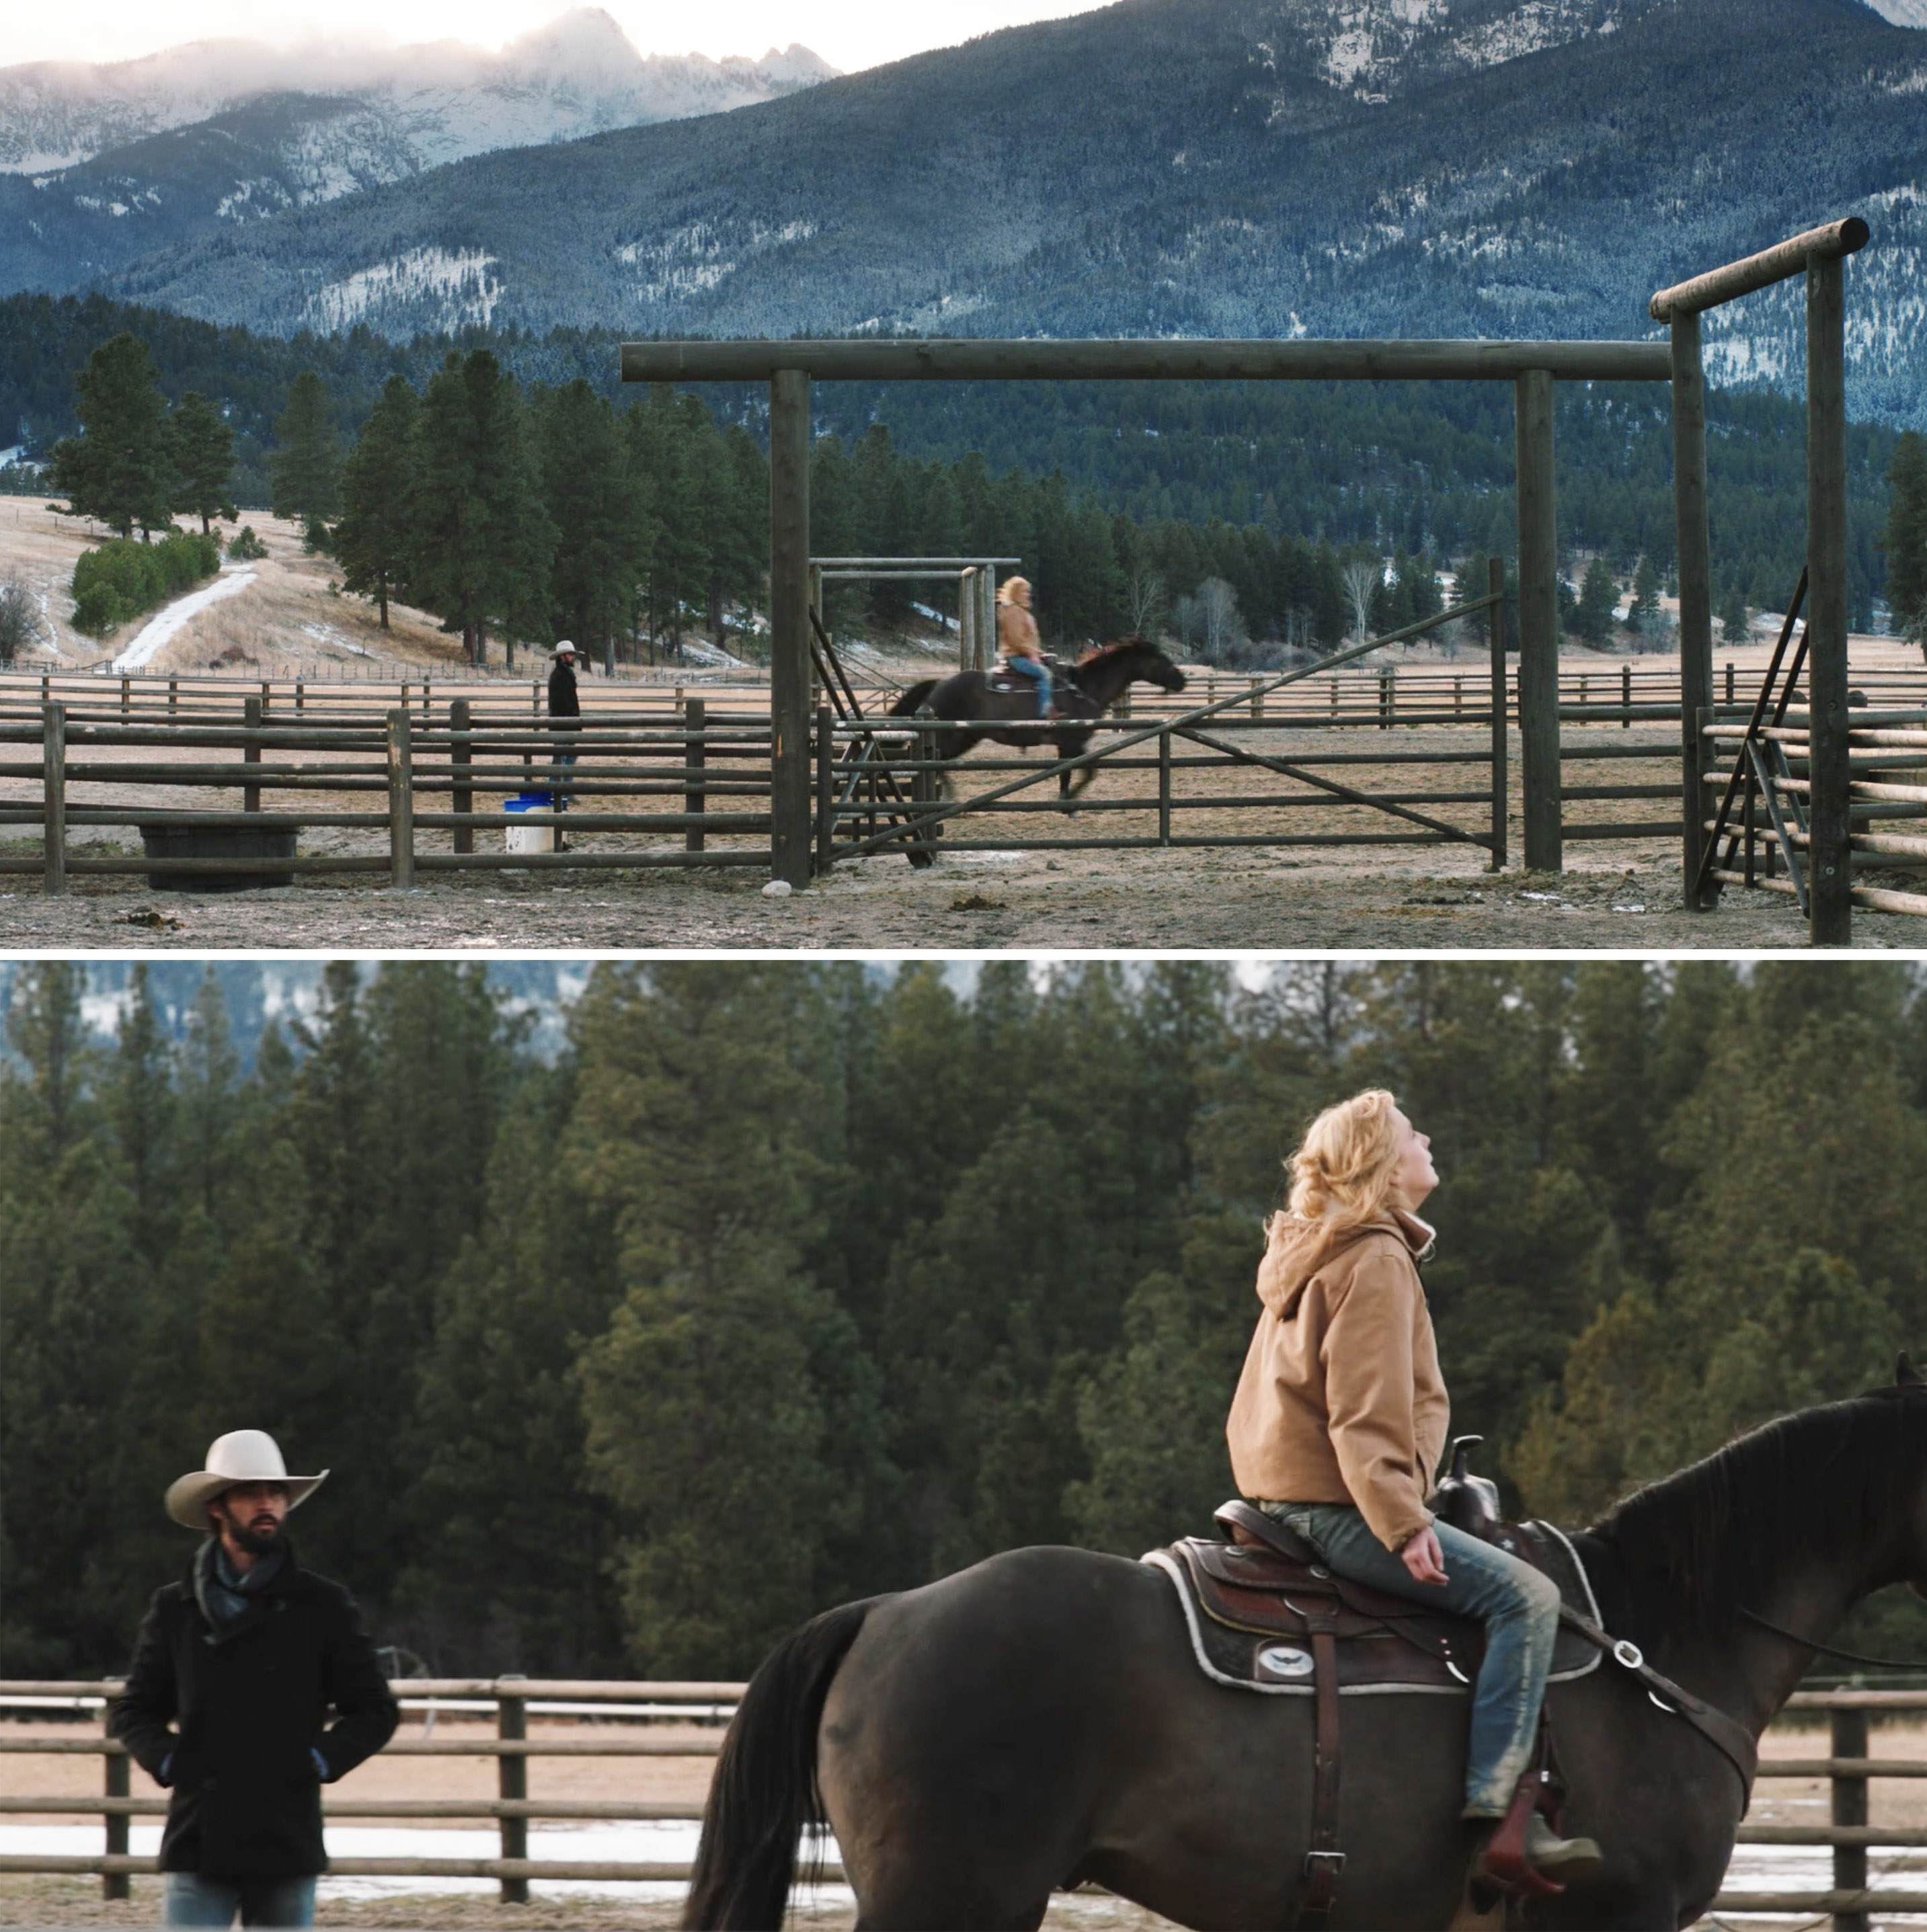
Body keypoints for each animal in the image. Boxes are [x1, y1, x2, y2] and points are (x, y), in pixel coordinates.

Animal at [893, 641, 1190, 799]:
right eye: (1162, 660)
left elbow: (1070, 772)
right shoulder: (1072, 742)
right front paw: (1069, 800)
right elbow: (1086, 771)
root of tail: (940, 684)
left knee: (939, 761)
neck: (1084, 688)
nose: (1182, 681)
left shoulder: (1068, 745)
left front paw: (1065, 799)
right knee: (934, 759)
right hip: (952, 734)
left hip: (966, 736)